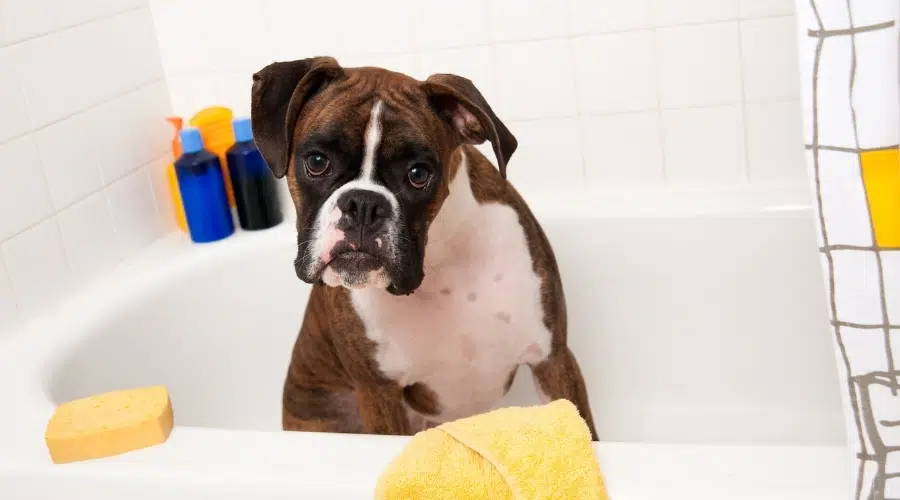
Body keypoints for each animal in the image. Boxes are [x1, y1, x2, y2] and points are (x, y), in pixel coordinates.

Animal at [248, 55, 596, 438]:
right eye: (317, 162)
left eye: (418, 174)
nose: (364, 205)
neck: (439, 258)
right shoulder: (378, 394)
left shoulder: (553, 360)